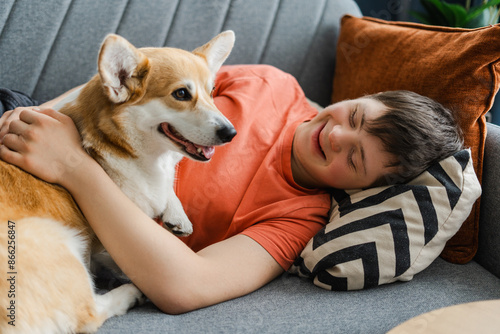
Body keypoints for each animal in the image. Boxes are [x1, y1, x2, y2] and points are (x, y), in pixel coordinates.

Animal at [0, 30, 236, 332]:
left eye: (212, 91)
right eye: (181, 94)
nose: (231, 133)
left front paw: (176, 214)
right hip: (52, 236)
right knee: (88, 313)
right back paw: (130, 293)